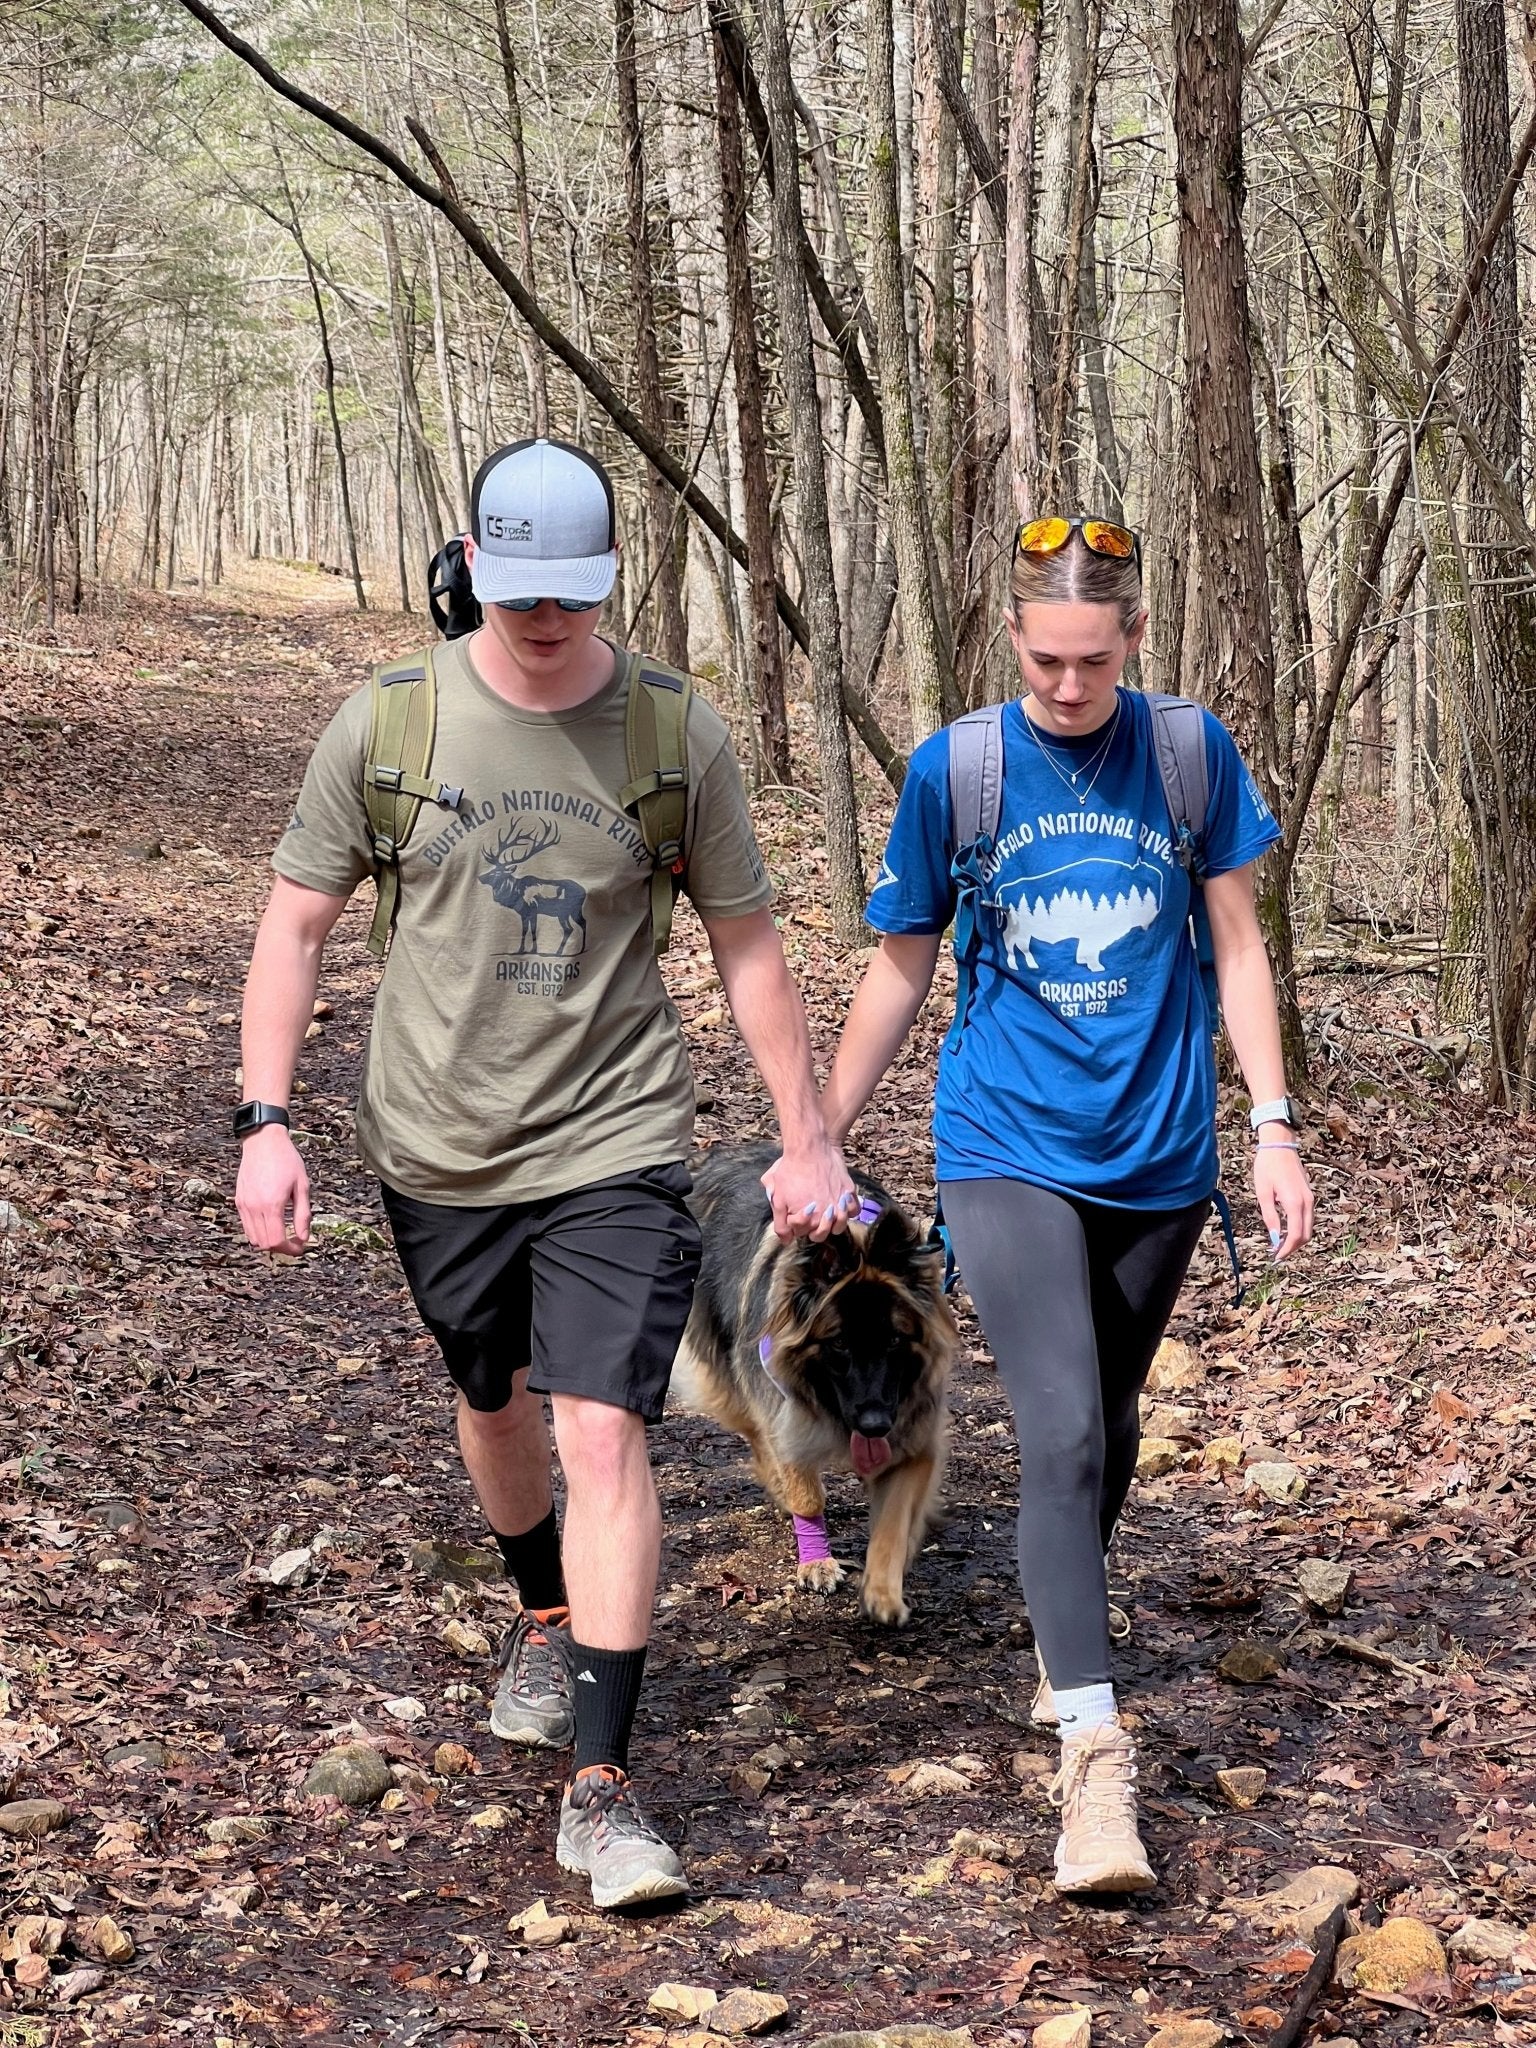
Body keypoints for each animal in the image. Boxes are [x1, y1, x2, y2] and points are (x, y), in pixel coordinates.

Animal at [675, 1146, 958, 1622]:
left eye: (895, 1340)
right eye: (839, 1342)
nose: (875, 1425)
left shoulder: (914, 1439)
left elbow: (893, 1520)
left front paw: (882, 1590)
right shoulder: (787, 1415)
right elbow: (806, 1494)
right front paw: (818, 1561)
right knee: (757, 1437)